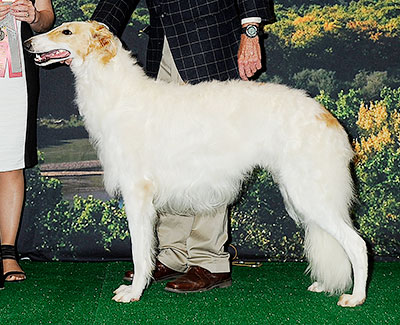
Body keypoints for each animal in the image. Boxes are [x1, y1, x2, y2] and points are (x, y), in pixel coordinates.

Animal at [25, 21, 368, 306]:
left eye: (66, 31)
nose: (27, 42)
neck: (118, 93)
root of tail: (326, 117)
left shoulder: (137, 194)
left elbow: (139, 252)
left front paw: (133, 292)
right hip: (300, 193)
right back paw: (325, 285)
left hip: (310, 194)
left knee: (358, 244)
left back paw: (356, 297)